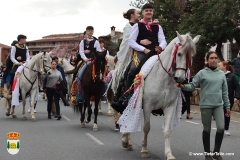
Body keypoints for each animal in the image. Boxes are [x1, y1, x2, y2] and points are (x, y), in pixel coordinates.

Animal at [121, 31, 200, 159]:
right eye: (179, 54)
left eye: (192, 56)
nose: (180, 79)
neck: (164, 79)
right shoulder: (147, 106)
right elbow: (146, 128)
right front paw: (144, 150)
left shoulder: (169, 107)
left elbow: (167, 131)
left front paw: (169, 154)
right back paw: (125, 140)